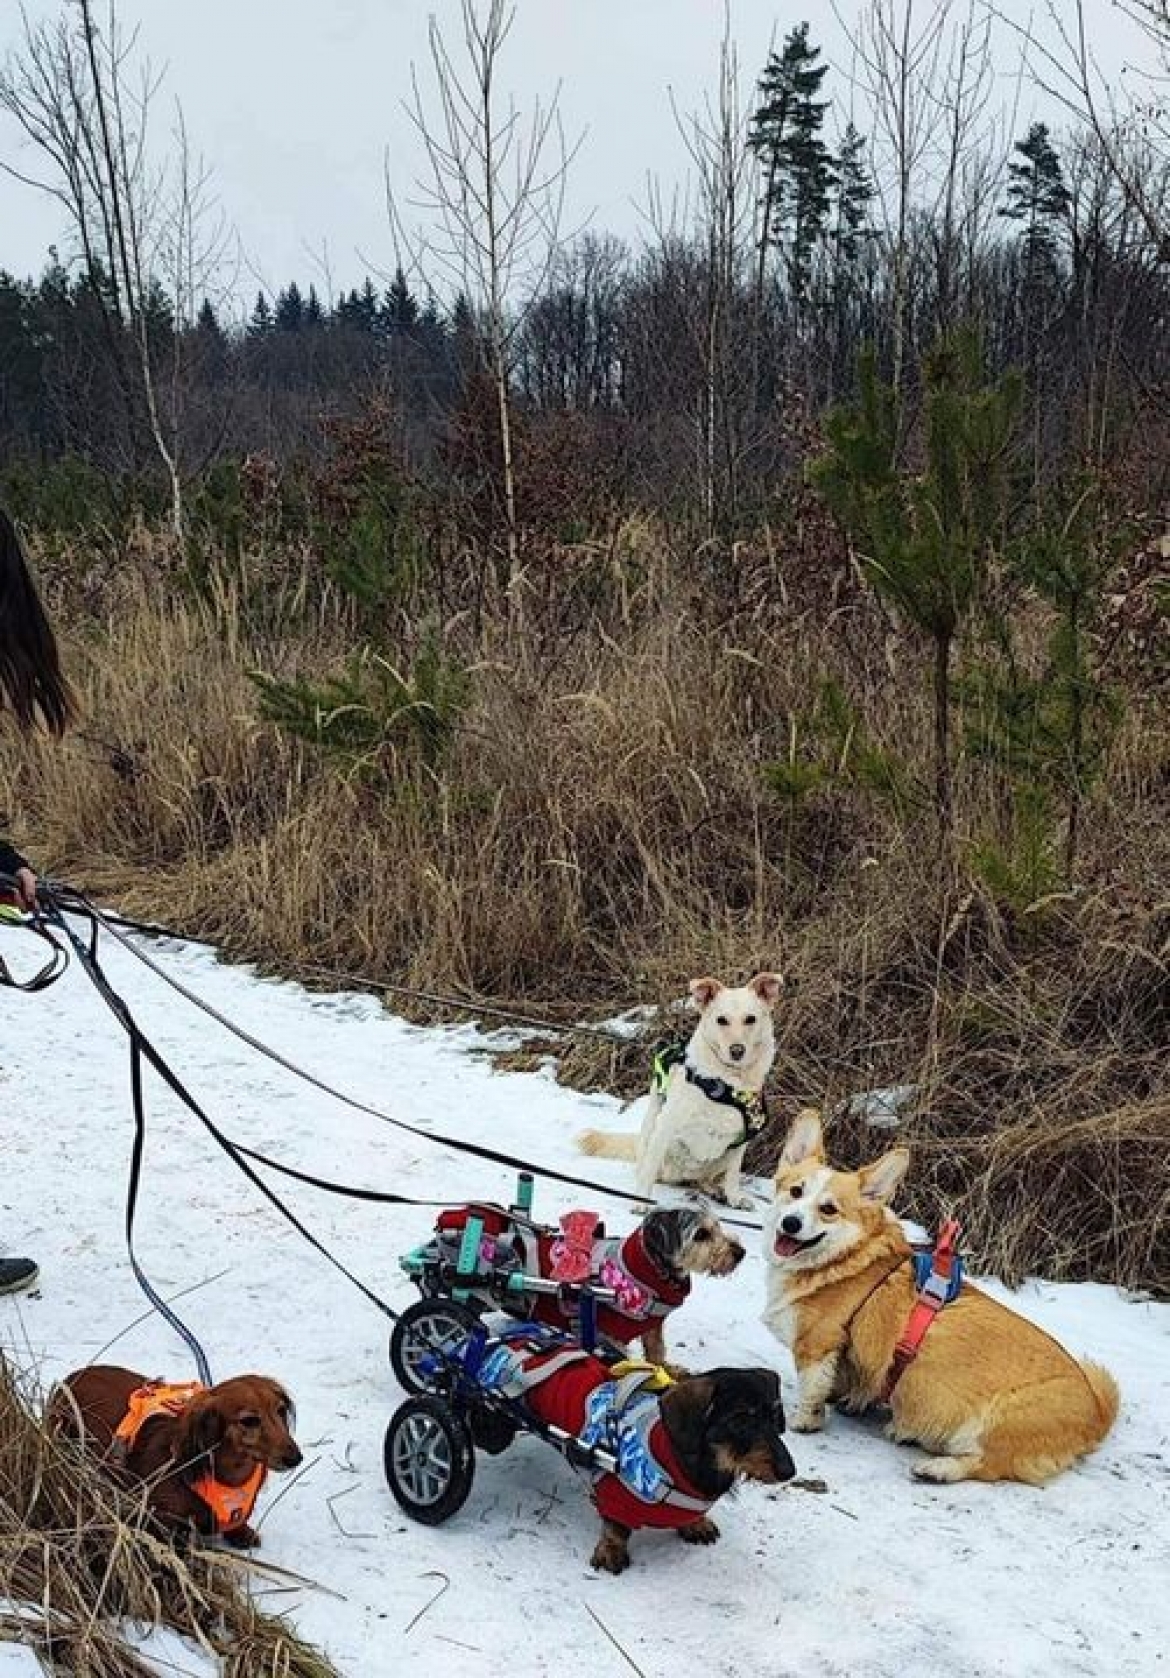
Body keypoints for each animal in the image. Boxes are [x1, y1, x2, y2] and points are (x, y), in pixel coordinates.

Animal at [577, 973, 778, 1208]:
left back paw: (713, 1189)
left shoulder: (742, 1139)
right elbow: (648, 1171)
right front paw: (641, 1200)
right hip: (651, 1133)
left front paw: (734, 1197)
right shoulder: (665, 1126)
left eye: (750, 1019)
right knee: (648, 1168)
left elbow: (733, 1175)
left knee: (703, 1179)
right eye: (721, 1020)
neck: (726, 1083)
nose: (737, 1051)